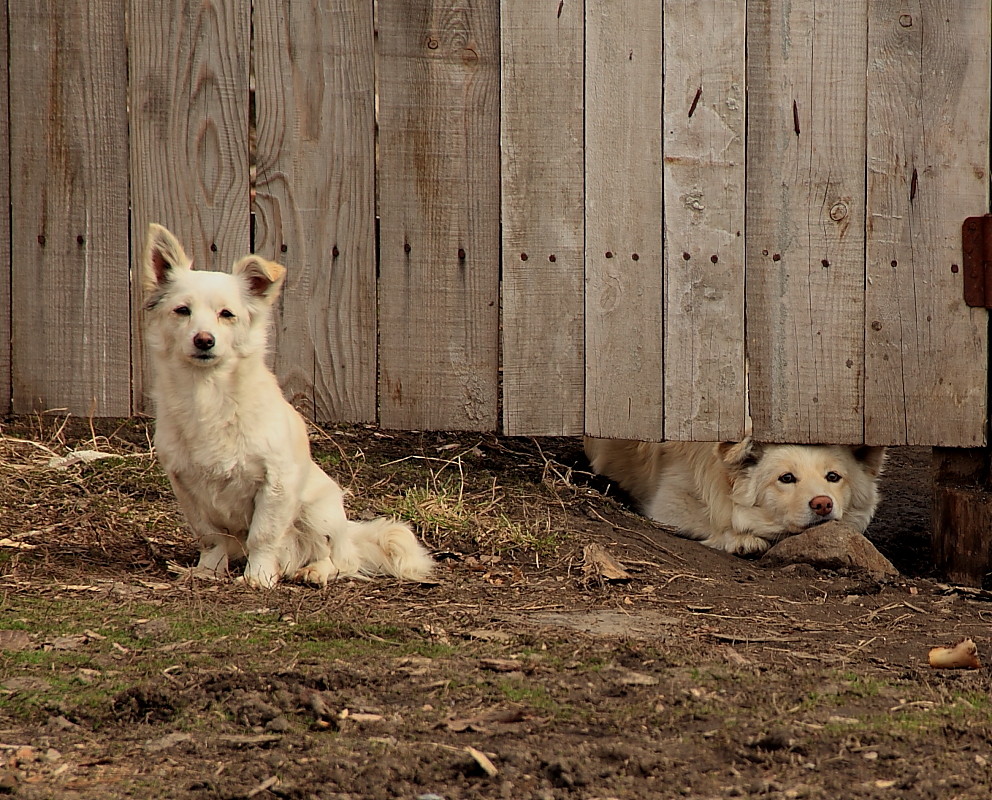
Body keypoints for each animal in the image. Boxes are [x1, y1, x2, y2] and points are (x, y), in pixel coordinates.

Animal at [142, 223, 434, 588]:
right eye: (182, 311)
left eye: (227, 315)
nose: (204, 340)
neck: (207, 393)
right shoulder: (186, 487)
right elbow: (212, 537)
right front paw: (208, 571)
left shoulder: (276, 483)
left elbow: (263, 536)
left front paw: (258, 577)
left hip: (318, 512)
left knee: (340, 560)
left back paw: (313, 571)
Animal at [584, 438, 888, 556]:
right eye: (786, 478)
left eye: (833, 477)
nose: (823, 504)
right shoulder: (670, 502)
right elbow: (716, 520)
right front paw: (742, 539)